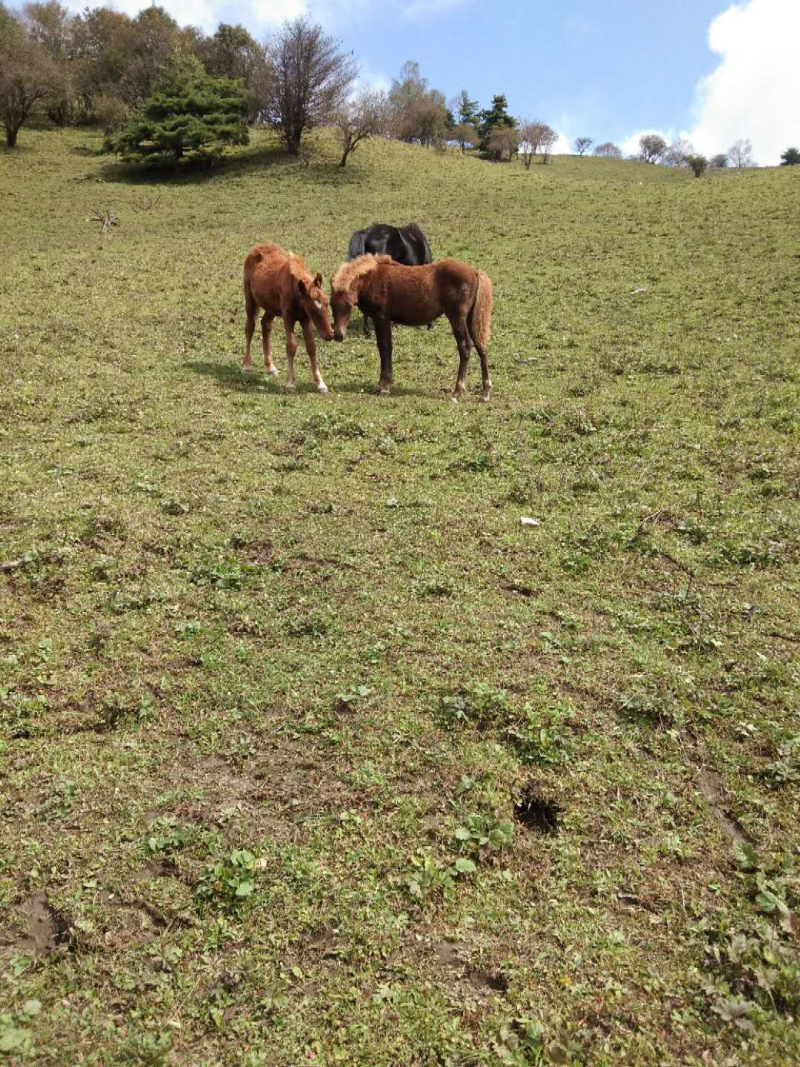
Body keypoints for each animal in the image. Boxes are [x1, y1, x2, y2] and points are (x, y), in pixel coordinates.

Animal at [242, 243, 333, 393]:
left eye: (327, 303)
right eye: (312, 310)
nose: (330, 335)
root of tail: (256, 248)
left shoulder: (305, 320)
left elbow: (311, 347)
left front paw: (320, 383)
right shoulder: (288, 317)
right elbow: (291, 346)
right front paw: (290, 384)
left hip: (272, 308)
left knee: (265, 325)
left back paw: (270, 367)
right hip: (250, 300)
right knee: (250, 328)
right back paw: (246, 366)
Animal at [330, 255, 493, 401]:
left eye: (348, 305)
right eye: (331, 304)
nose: (338, 334)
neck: (371, 278)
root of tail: (475, 272)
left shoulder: (381, 317)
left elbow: (384, 347)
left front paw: (383, 386)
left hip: (456, 317)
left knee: (465, 346)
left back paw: (458, 391)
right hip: (471, 317)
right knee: (480, 345)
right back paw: (485, 392)